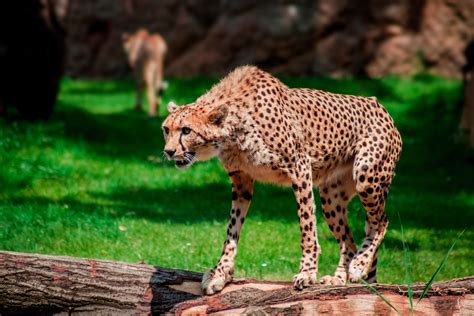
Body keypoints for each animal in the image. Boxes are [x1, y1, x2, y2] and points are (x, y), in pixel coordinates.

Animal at [161, 65, 402, 296]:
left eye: (186, 130)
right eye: (166, 129)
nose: (169, 152)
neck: (233, 132)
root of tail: (377, 103)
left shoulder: (300, 168)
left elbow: (307, 225)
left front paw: (307, 272)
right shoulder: (241, 181)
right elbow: (231, 229)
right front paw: (220, 273)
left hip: (366, 175)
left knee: (380, 221)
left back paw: (359, 265)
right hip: (331, 198)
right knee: (348, 241)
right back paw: (342, 277)